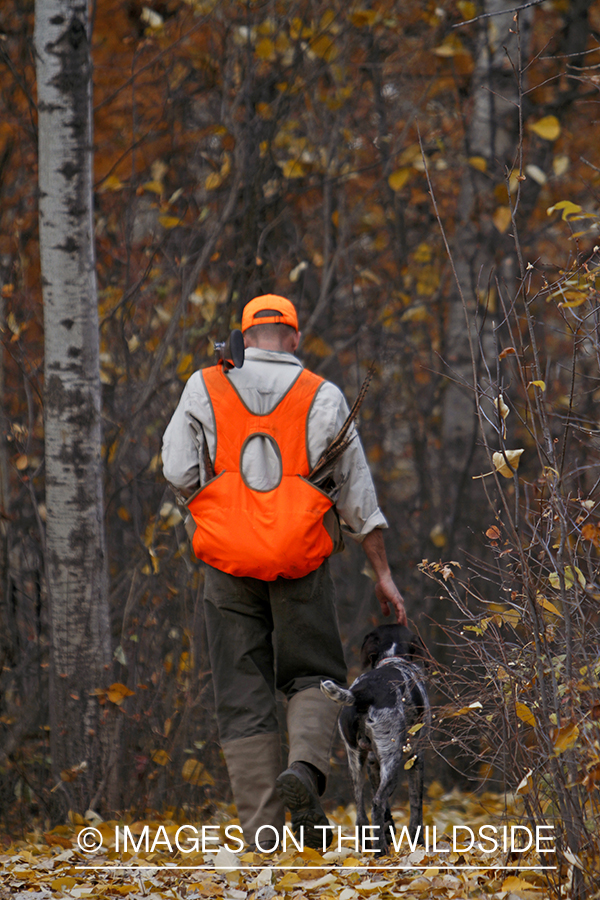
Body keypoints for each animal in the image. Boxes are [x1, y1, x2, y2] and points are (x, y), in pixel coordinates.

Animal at [322, 624, 428, 856]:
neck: (393, 658)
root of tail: (362, 693)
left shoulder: (371, 762)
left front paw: (388, 833)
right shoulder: (416, 757)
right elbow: (416, 807)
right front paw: (419, 843)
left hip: (355, 760)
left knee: (362, 813)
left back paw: (369, 848)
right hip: (392, 759)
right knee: (377, 803)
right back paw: (380, 851)